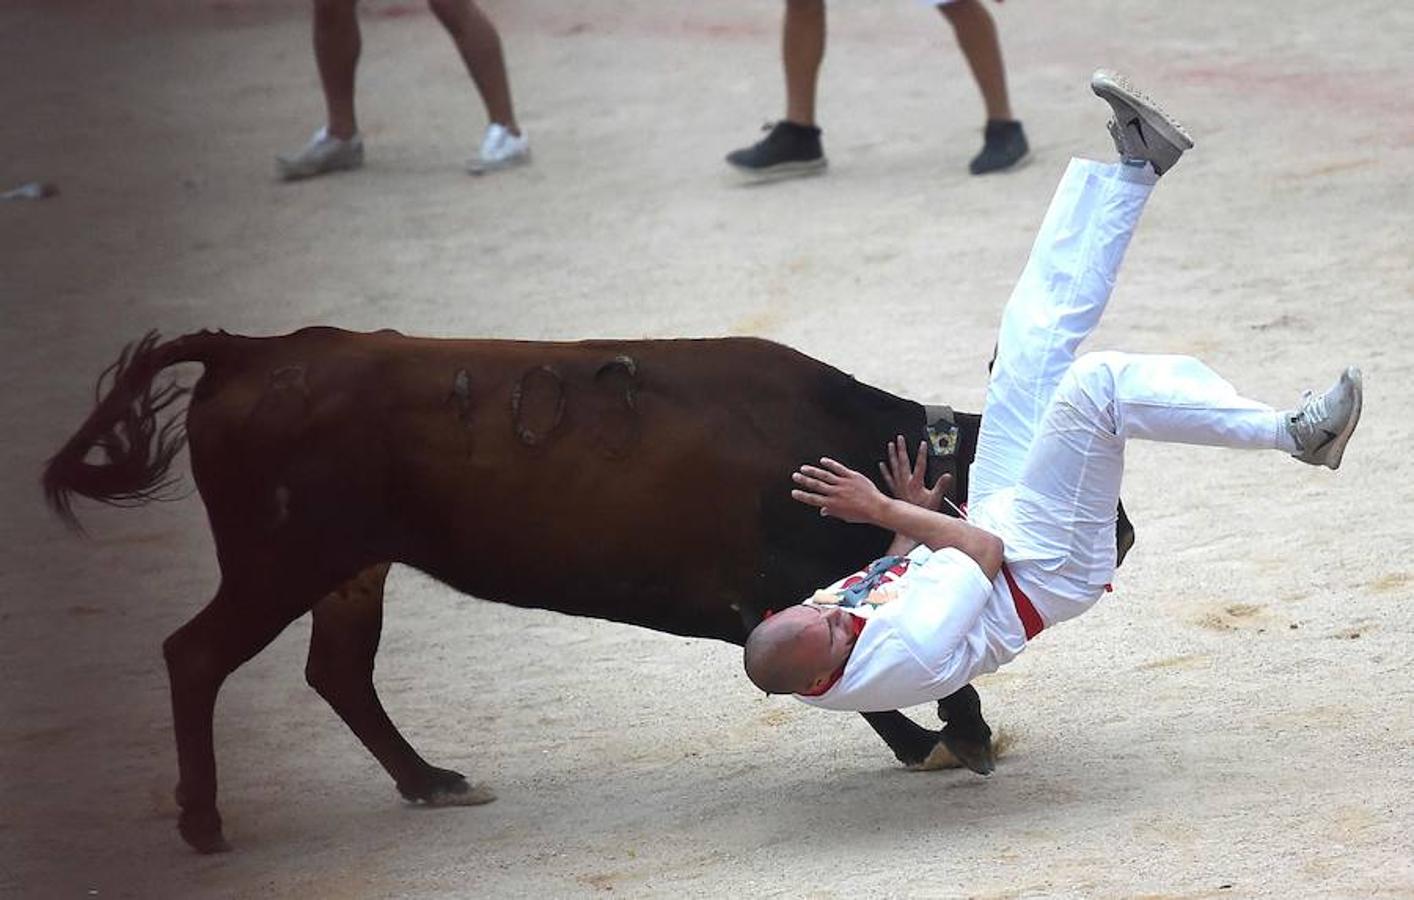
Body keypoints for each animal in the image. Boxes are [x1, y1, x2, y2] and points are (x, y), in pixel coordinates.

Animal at [41, 326, 1136, 854]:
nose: (1120, 533)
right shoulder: (765, 597)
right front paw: (956, 739)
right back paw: (204, 823)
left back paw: (431, 782)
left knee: (338, 674)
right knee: (197, 655)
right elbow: (890, 684)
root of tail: (250, 351)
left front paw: (939, 739)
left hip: (347, 569)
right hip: (280, 561)